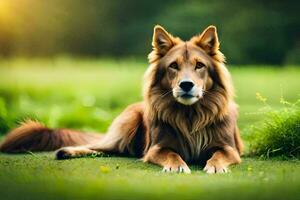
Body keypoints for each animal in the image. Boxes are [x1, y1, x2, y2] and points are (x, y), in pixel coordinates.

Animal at [0, 25, 243, 173]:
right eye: (173, 66)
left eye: (199, 66)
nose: (186, 85)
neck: (190, 115)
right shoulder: (156, 148)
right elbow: (172, 154)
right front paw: (177, 166)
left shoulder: (229, 148)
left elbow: (219, 154)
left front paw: (215, 166)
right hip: (129, 122)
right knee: (102, 146)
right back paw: (67, 151)